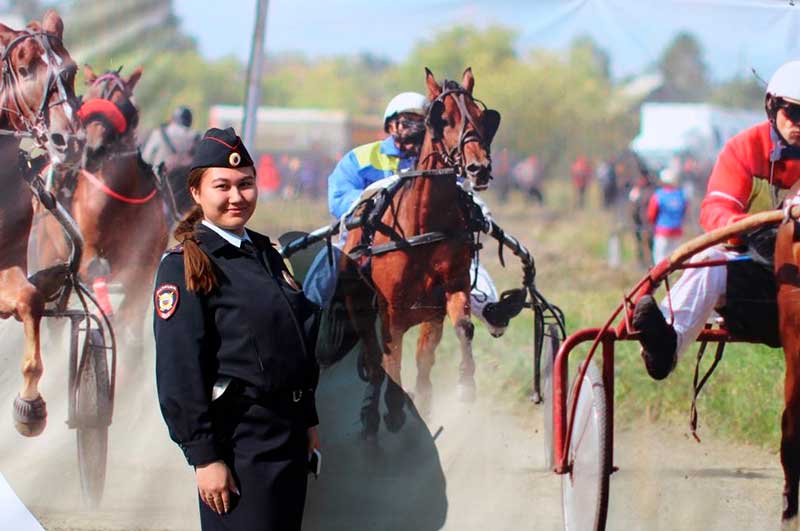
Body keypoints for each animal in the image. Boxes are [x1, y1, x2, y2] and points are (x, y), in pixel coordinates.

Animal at [344, 67, 500, 440]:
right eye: (442, 118)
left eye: (481, 115)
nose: (479, 168)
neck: (423, 225)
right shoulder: (391, 307)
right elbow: (390, 356)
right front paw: (394, 406)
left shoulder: (450, 289)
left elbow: (462, 329)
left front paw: (464, 384)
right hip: (361, 307)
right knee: (376, 357)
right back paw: (374, 413)